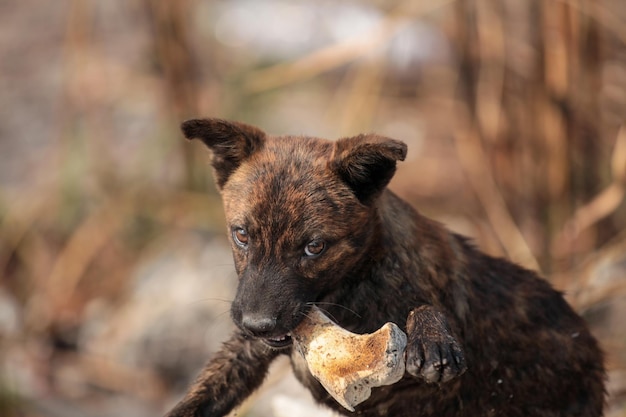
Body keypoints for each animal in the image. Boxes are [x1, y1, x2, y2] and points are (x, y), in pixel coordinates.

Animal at [163, 118, 604, 416]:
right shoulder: (244, 352)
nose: (258, 325)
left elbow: (425, 306)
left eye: (314, 247)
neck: (347, 291)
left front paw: (433, 339)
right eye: (241, 235)